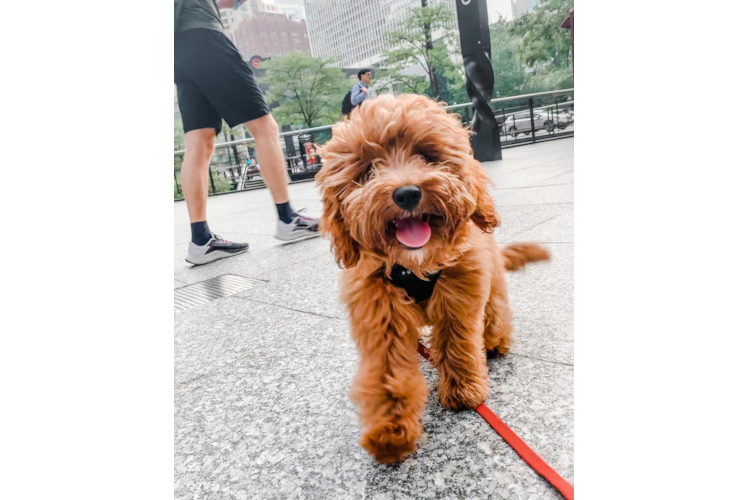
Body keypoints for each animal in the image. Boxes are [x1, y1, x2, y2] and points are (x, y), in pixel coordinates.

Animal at [316, 94, 548, 464]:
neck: (415, 264)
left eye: (427, 155)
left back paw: (495, 340)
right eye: (367, 170)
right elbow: (389, 374)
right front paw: (391, 431)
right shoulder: (380, 315)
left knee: (495, 310)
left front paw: (464, 389)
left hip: (491, 276)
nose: (407, 194)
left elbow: (458, 342)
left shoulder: (461, 292)